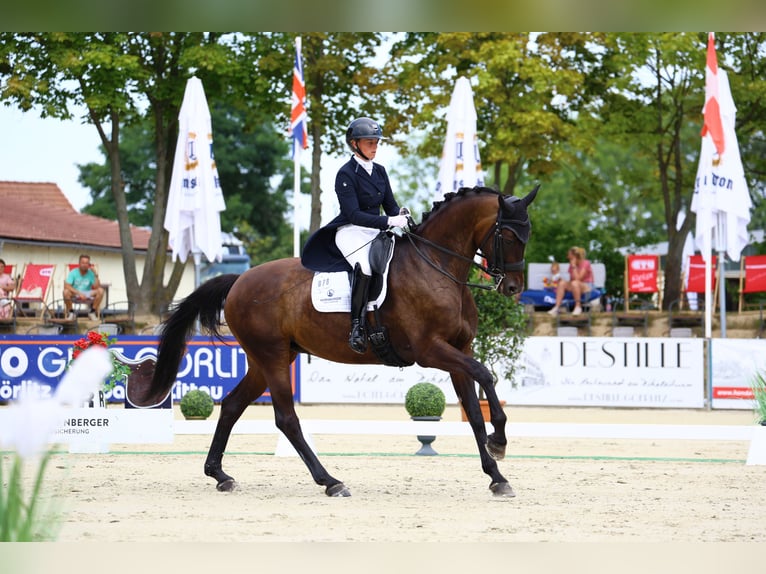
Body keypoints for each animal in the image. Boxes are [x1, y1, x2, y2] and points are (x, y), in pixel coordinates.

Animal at [138, 186, 544, 500]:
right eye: (508, 235)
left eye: (528, 234)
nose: (512, 288)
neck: (437, 266)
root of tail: (239, 281)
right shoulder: (430, 350)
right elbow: (486, 377)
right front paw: (500, 441)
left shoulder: (459, 350)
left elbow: (474, 411)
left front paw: (497, 477)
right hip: (271, 356)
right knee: (286, 419)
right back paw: (330, 482)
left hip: (267, 358)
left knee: (233, 405)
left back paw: (220, 475)